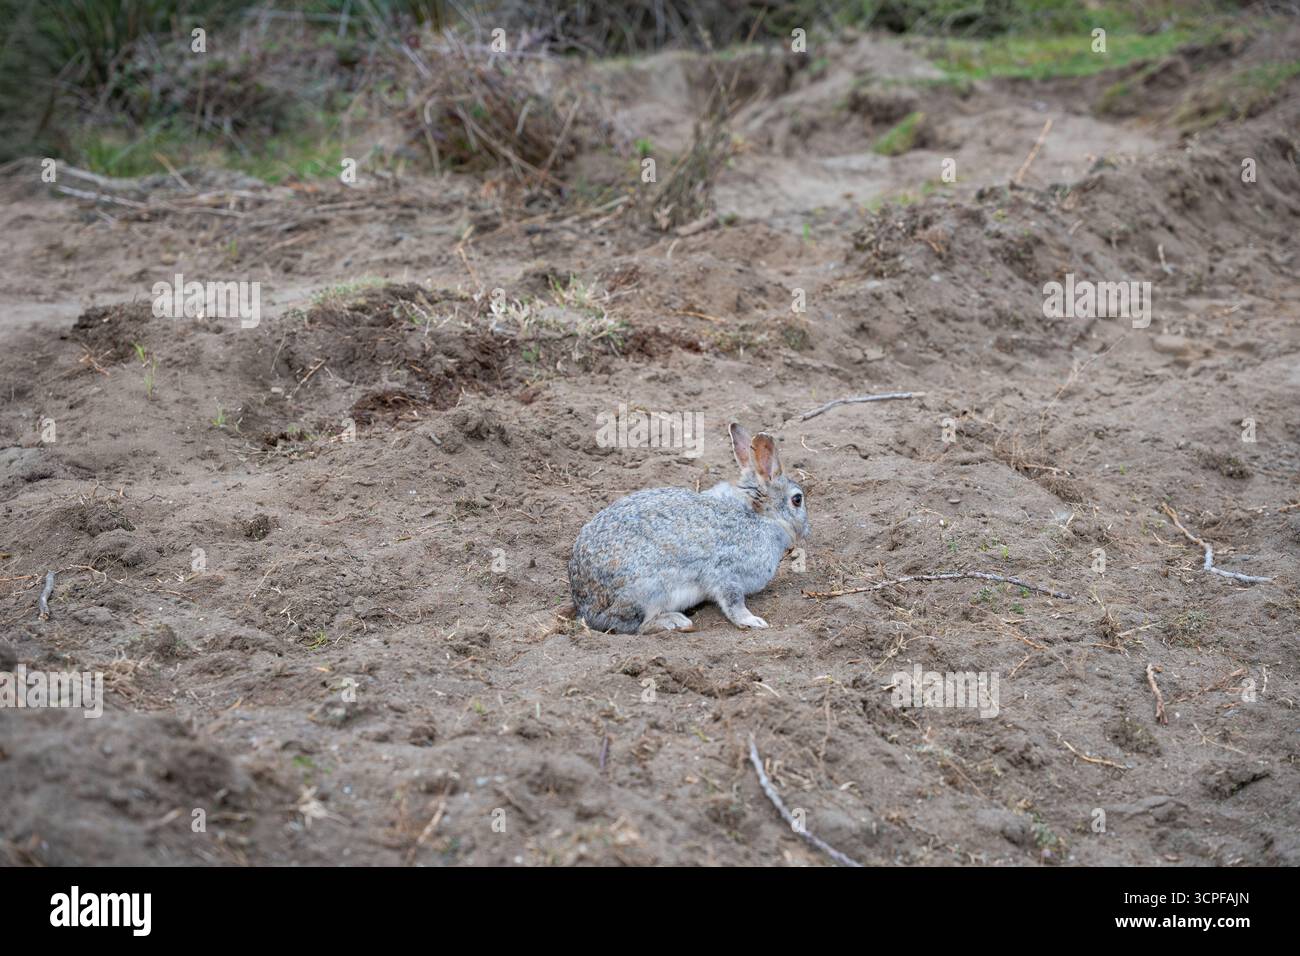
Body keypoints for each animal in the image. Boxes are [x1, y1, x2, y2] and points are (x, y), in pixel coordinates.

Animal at [568, 422, 810, 633]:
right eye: (797, 500)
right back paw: (674, 622)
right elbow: (733, 603)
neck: (760, 515)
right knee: (633, 626)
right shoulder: (726, 572)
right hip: (648, 591)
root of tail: (586, 607)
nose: (807, 530)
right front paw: (752, 621)